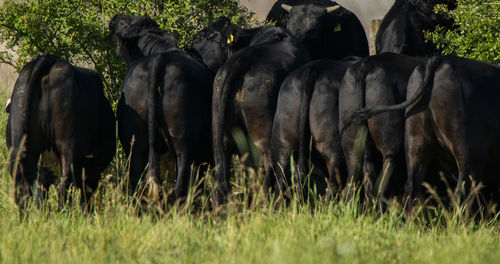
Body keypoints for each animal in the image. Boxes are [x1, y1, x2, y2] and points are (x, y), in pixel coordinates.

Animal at [5, 54, 115, 211]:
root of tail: (51, 59)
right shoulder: (92, 171)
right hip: (68, 148)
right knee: (65, 187)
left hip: (22, 150)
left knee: (23, 190)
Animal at [109, 14, 213, 202]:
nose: (115, 18)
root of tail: (156, 60)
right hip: (183, 143)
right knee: (181, 185)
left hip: (134, 145)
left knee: (139, 186)